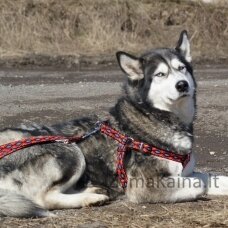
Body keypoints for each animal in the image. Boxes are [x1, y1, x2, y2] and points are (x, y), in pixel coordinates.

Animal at [0, 30, 228, 217]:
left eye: (182, 68)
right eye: (160, 74)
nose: (182, 85)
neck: (154, 115)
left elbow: (211, 177)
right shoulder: (144, 186)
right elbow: (198, 183)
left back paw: (91, 191)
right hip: (70, 151)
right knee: (43, 199)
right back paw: (91, 198)